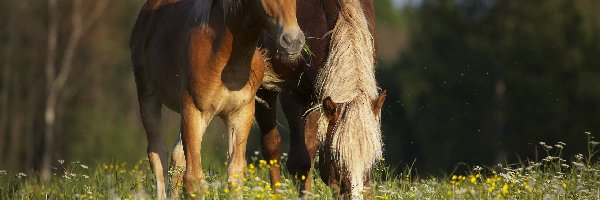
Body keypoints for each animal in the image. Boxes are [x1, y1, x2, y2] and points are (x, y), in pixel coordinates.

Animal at [129, 0, 302, 198]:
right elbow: (194, 179)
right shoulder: (193, 109)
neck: (224, 53)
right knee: (158, 153)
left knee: (177, 157)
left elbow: (235, 174)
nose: (293, 41)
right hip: (148, 98)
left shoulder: (241, 114)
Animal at [255, 0, 386, 198]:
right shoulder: (292, 96)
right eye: (336, 156)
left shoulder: (319, 98)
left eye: (373, 158)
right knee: (272, 147)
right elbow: (299, 161)